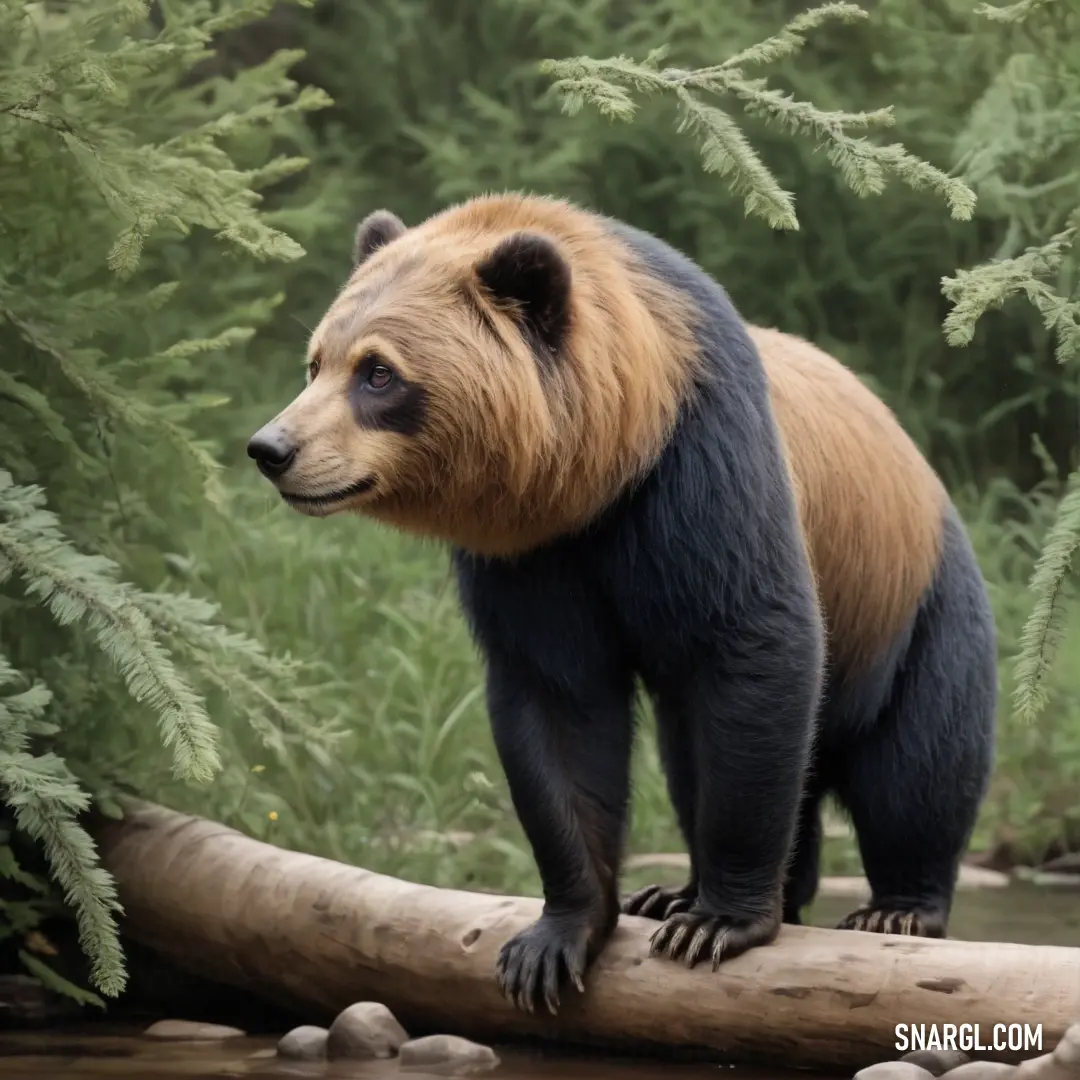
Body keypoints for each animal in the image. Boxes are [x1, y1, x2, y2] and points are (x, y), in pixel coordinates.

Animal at [245, 196, 993, 1019]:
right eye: (318, 361)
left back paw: (897, 906)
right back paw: (679, 891)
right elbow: (557, 707)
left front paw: (720, 921)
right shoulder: (534, 554)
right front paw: (555, 940)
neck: (602, 469)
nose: (272, 448)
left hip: (911, 603)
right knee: (697, 757)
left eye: (378, 372)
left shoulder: (699, 471)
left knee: (917, 762)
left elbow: (755, 646)